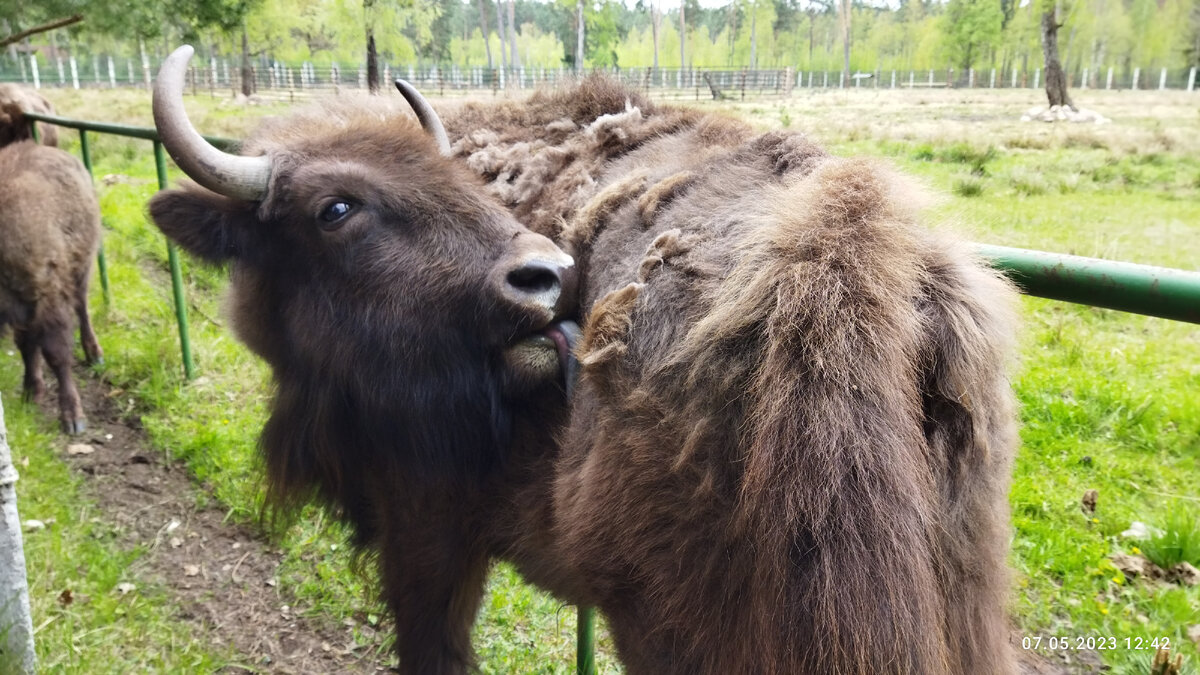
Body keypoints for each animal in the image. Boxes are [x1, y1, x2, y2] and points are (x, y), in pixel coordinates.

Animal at [1, 140, 103, 429]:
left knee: (82, 309)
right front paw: (30, 393)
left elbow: (56, 353)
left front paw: (73, 418)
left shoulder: (47, 294)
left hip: (81, 269)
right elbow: (27, 346)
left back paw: (95, 354)